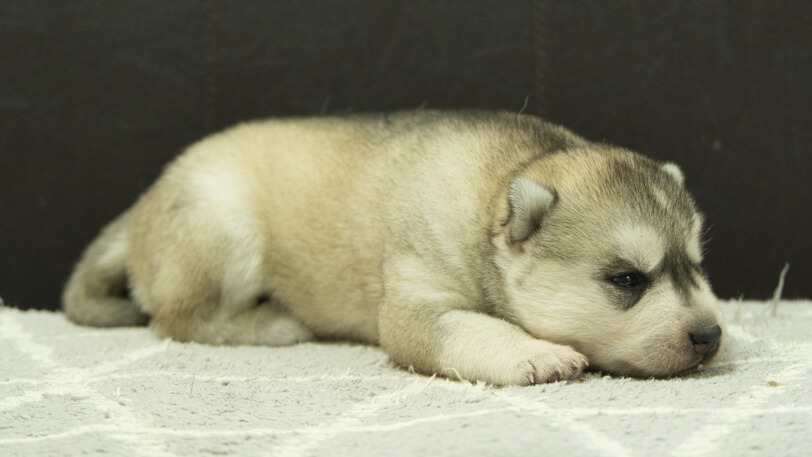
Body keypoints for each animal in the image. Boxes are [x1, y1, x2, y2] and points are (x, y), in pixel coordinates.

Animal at [61, 111, 724, 384]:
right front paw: (535, 354)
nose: (711, 335)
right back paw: (274, 323)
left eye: (697, 267)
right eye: (627, 280)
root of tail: (146, 201)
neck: (497, 187)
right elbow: (473, 330)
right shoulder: (416, 302)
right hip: (225, 227)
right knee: (176, 319)